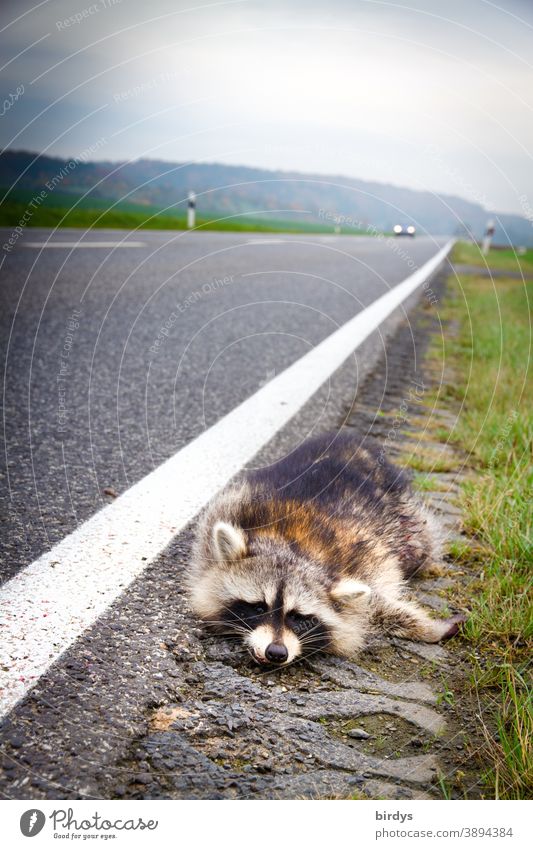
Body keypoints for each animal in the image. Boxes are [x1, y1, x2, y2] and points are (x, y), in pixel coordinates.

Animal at [188, 430, 466, 664]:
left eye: (299, 617)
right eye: (258, 606)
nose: (276, 653)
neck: (294, 548)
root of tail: (353, 439)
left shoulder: (367, 564)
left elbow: (376, 603)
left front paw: (427, 626)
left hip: (406, 516)